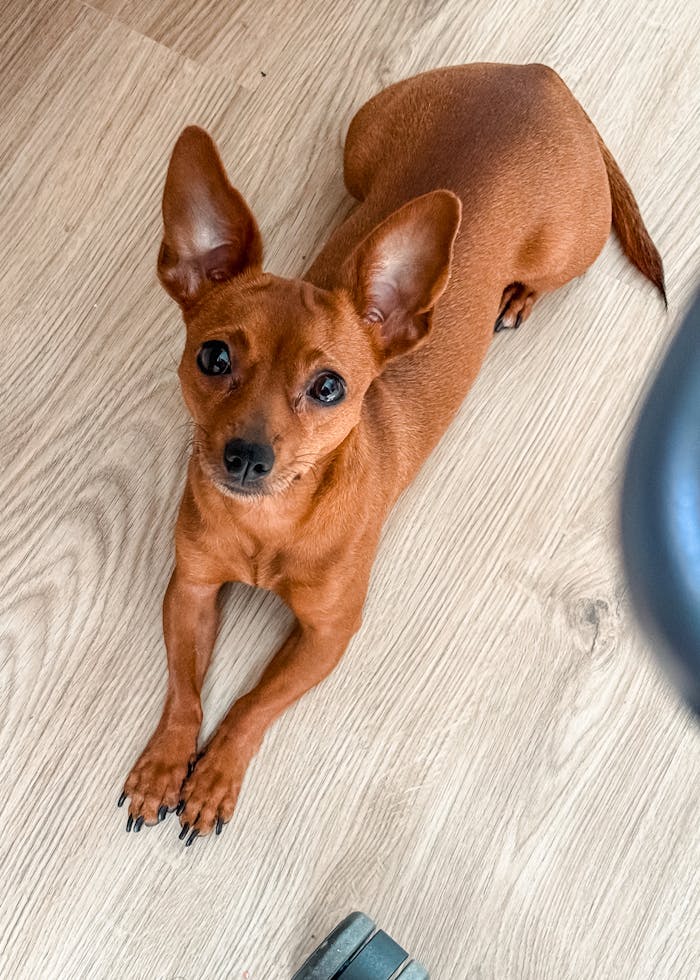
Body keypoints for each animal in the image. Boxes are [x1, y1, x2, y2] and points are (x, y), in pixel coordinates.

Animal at [119, 61, 660, 844]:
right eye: (213, 357)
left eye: (329, 387)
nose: (246, 456)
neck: (269, 525)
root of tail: (540, 78)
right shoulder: (189, 589)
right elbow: (185, 690)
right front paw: (165, 765)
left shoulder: (328, 634)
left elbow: (253, 703)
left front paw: (215, 775)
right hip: (358, 146)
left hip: (568, 249)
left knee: (546, 278)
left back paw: (516, 298)